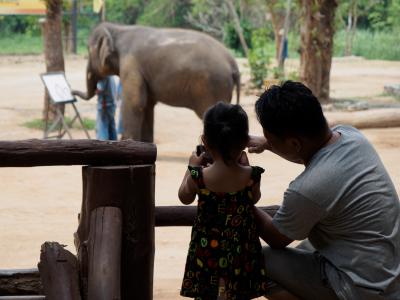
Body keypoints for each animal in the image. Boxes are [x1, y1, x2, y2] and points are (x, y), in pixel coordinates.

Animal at [72, 22, 241, 142]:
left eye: (88, 51)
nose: (72, 92)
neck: (119, 28)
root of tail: (233, 63)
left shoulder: (131, 65)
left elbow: (135, 103)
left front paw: (126, 143)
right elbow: (147, 105)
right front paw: (145, 144)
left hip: (214, 85)